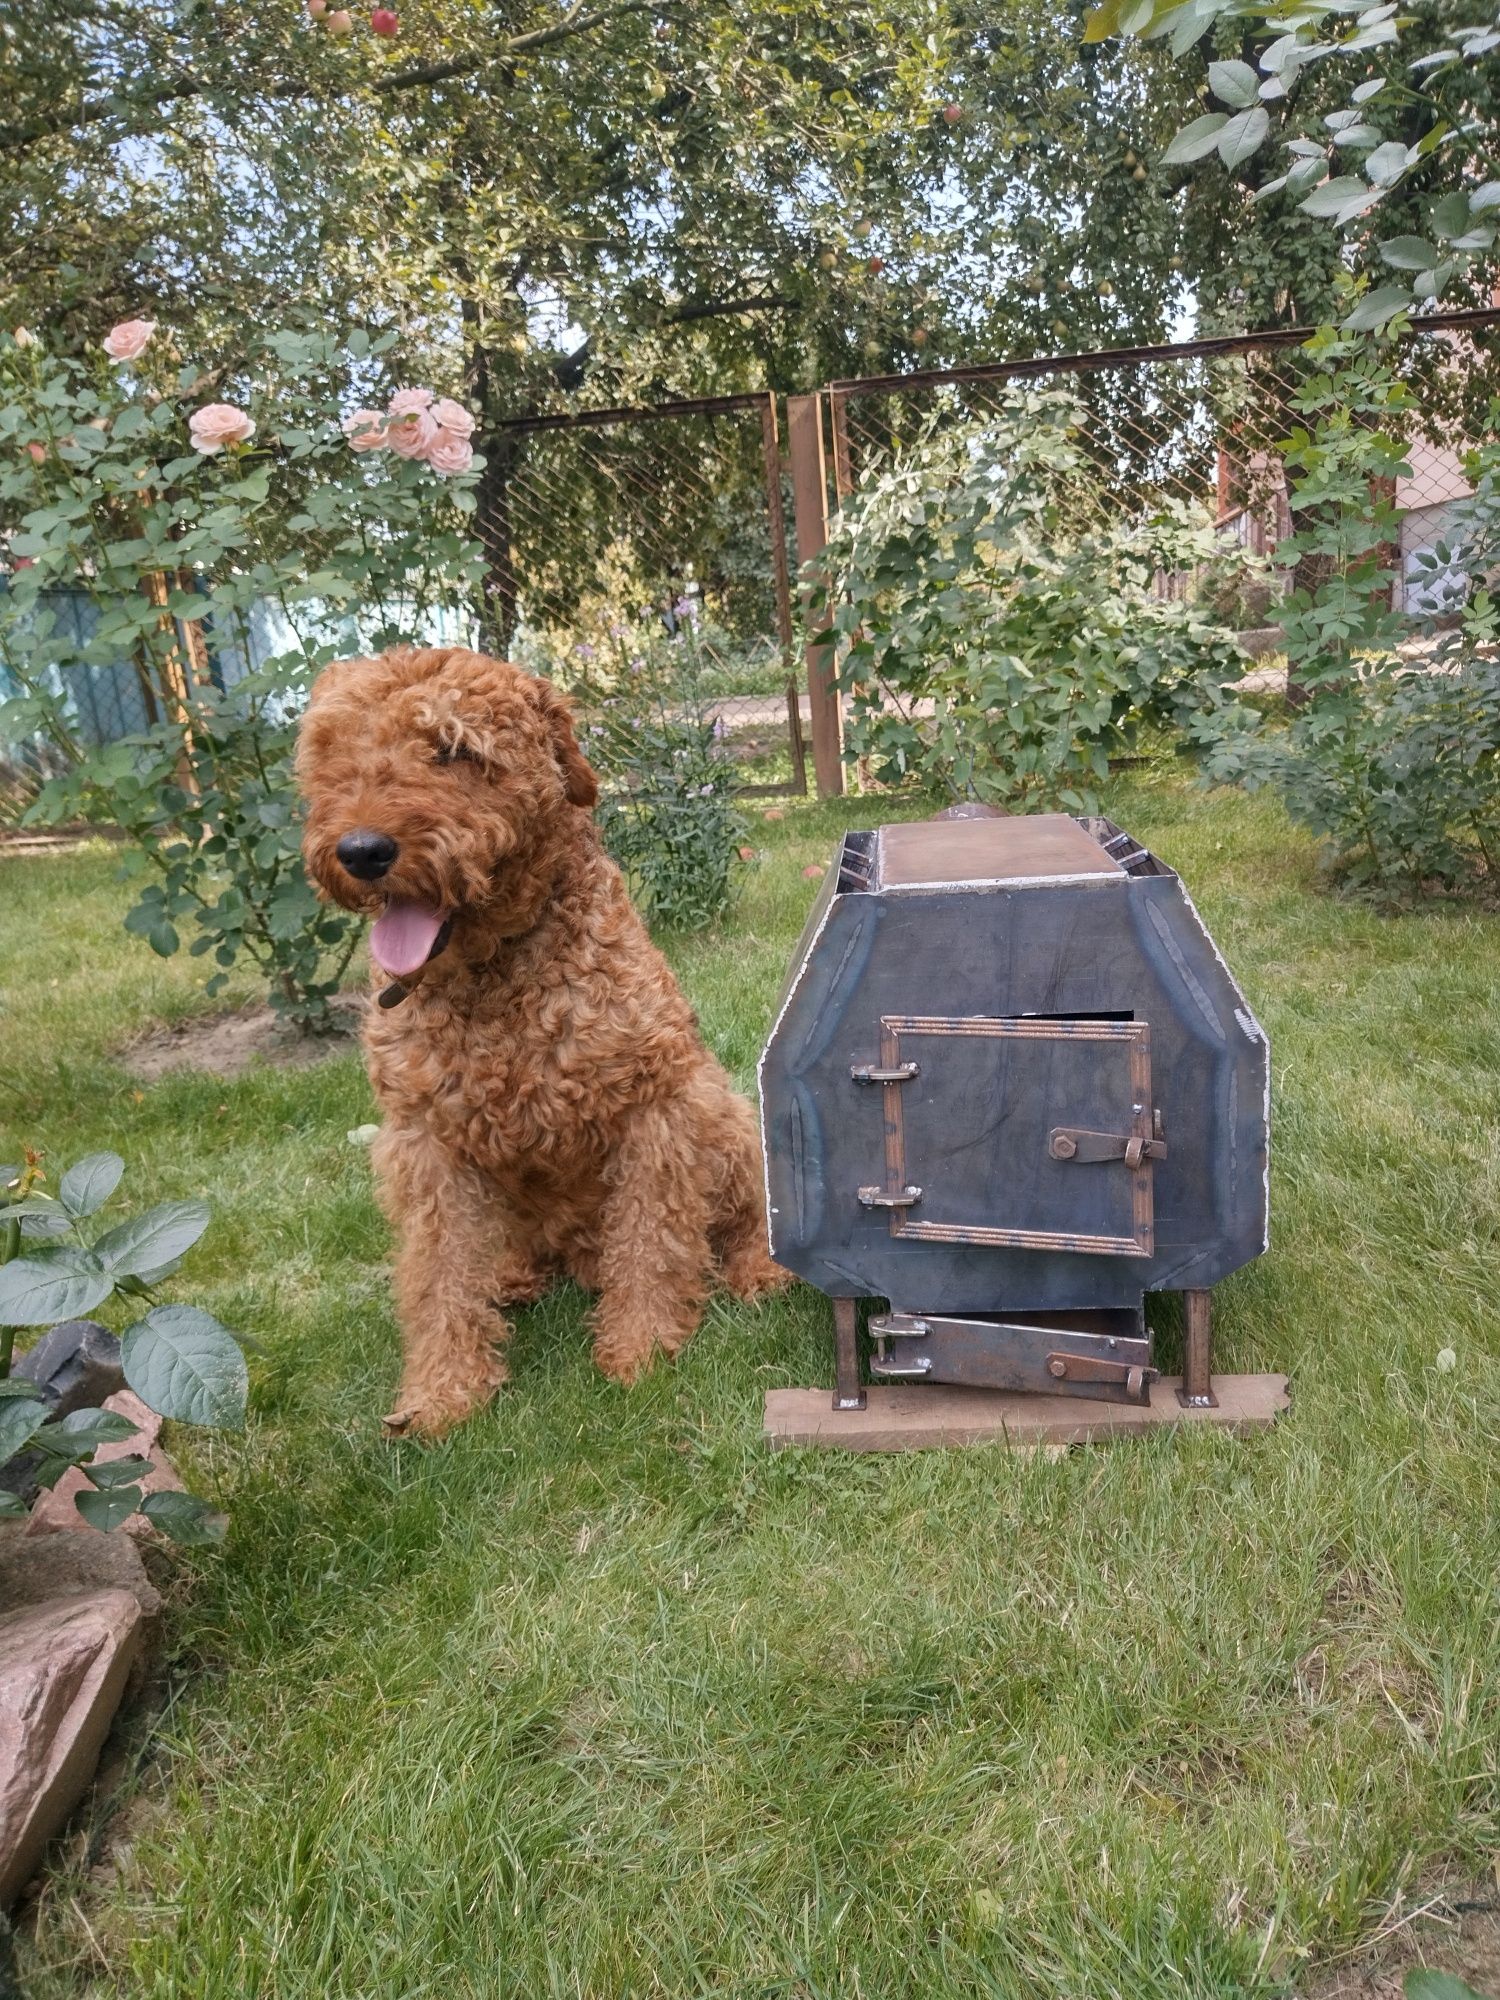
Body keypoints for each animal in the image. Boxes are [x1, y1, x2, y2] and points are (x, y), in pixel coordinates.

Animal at [294, 644, 788, 1440]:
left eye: (454, 749)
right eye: (333, 748)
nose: (362, 850)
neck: (497, 975)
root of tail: (579, 1257)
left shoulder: (657, 1109)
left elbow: (651, 1246)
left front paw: (641, 1353)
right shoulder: (425, 1144)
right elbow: (438, 1279)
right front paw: (442, 1393)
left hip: (727, 1112)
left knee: (739, 1221)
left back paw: (758, 1273)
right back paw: (513, 1278)